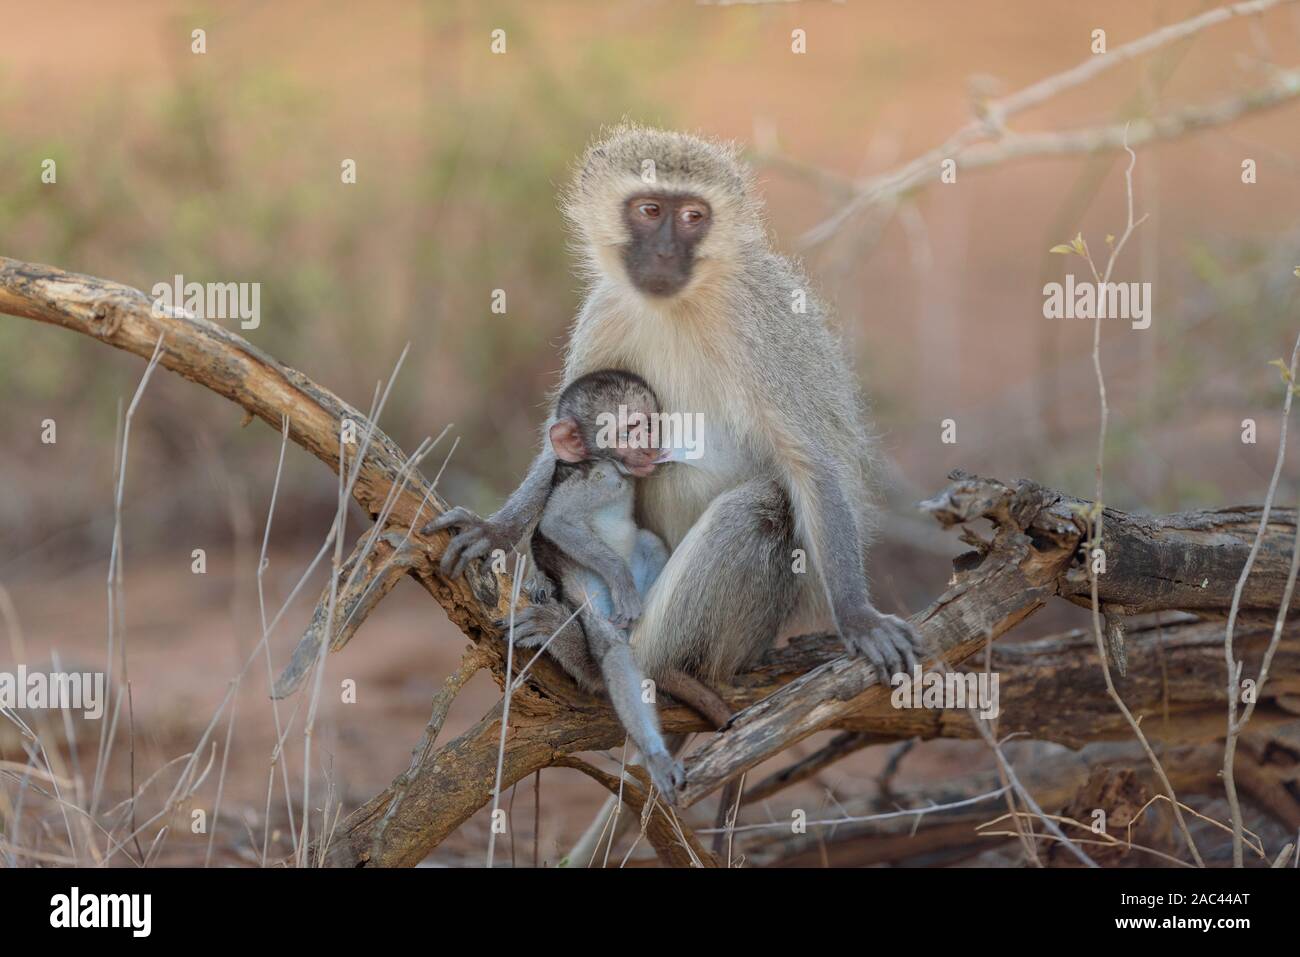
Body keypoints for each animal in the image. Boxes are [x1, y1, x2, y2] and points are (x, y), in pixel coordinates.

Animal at [428, 123, 921, 841]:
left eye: (693, 217)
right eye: (649, 209)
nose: (664, 249)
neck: (680, 304)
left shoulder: (762, 322)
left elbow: (811, 464)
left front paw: (858, 616)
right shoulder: (605, 311)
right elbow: (561, 447)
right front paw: (497, 527)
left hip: (745, 631)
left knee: (760, 508)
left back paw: (602, 662)